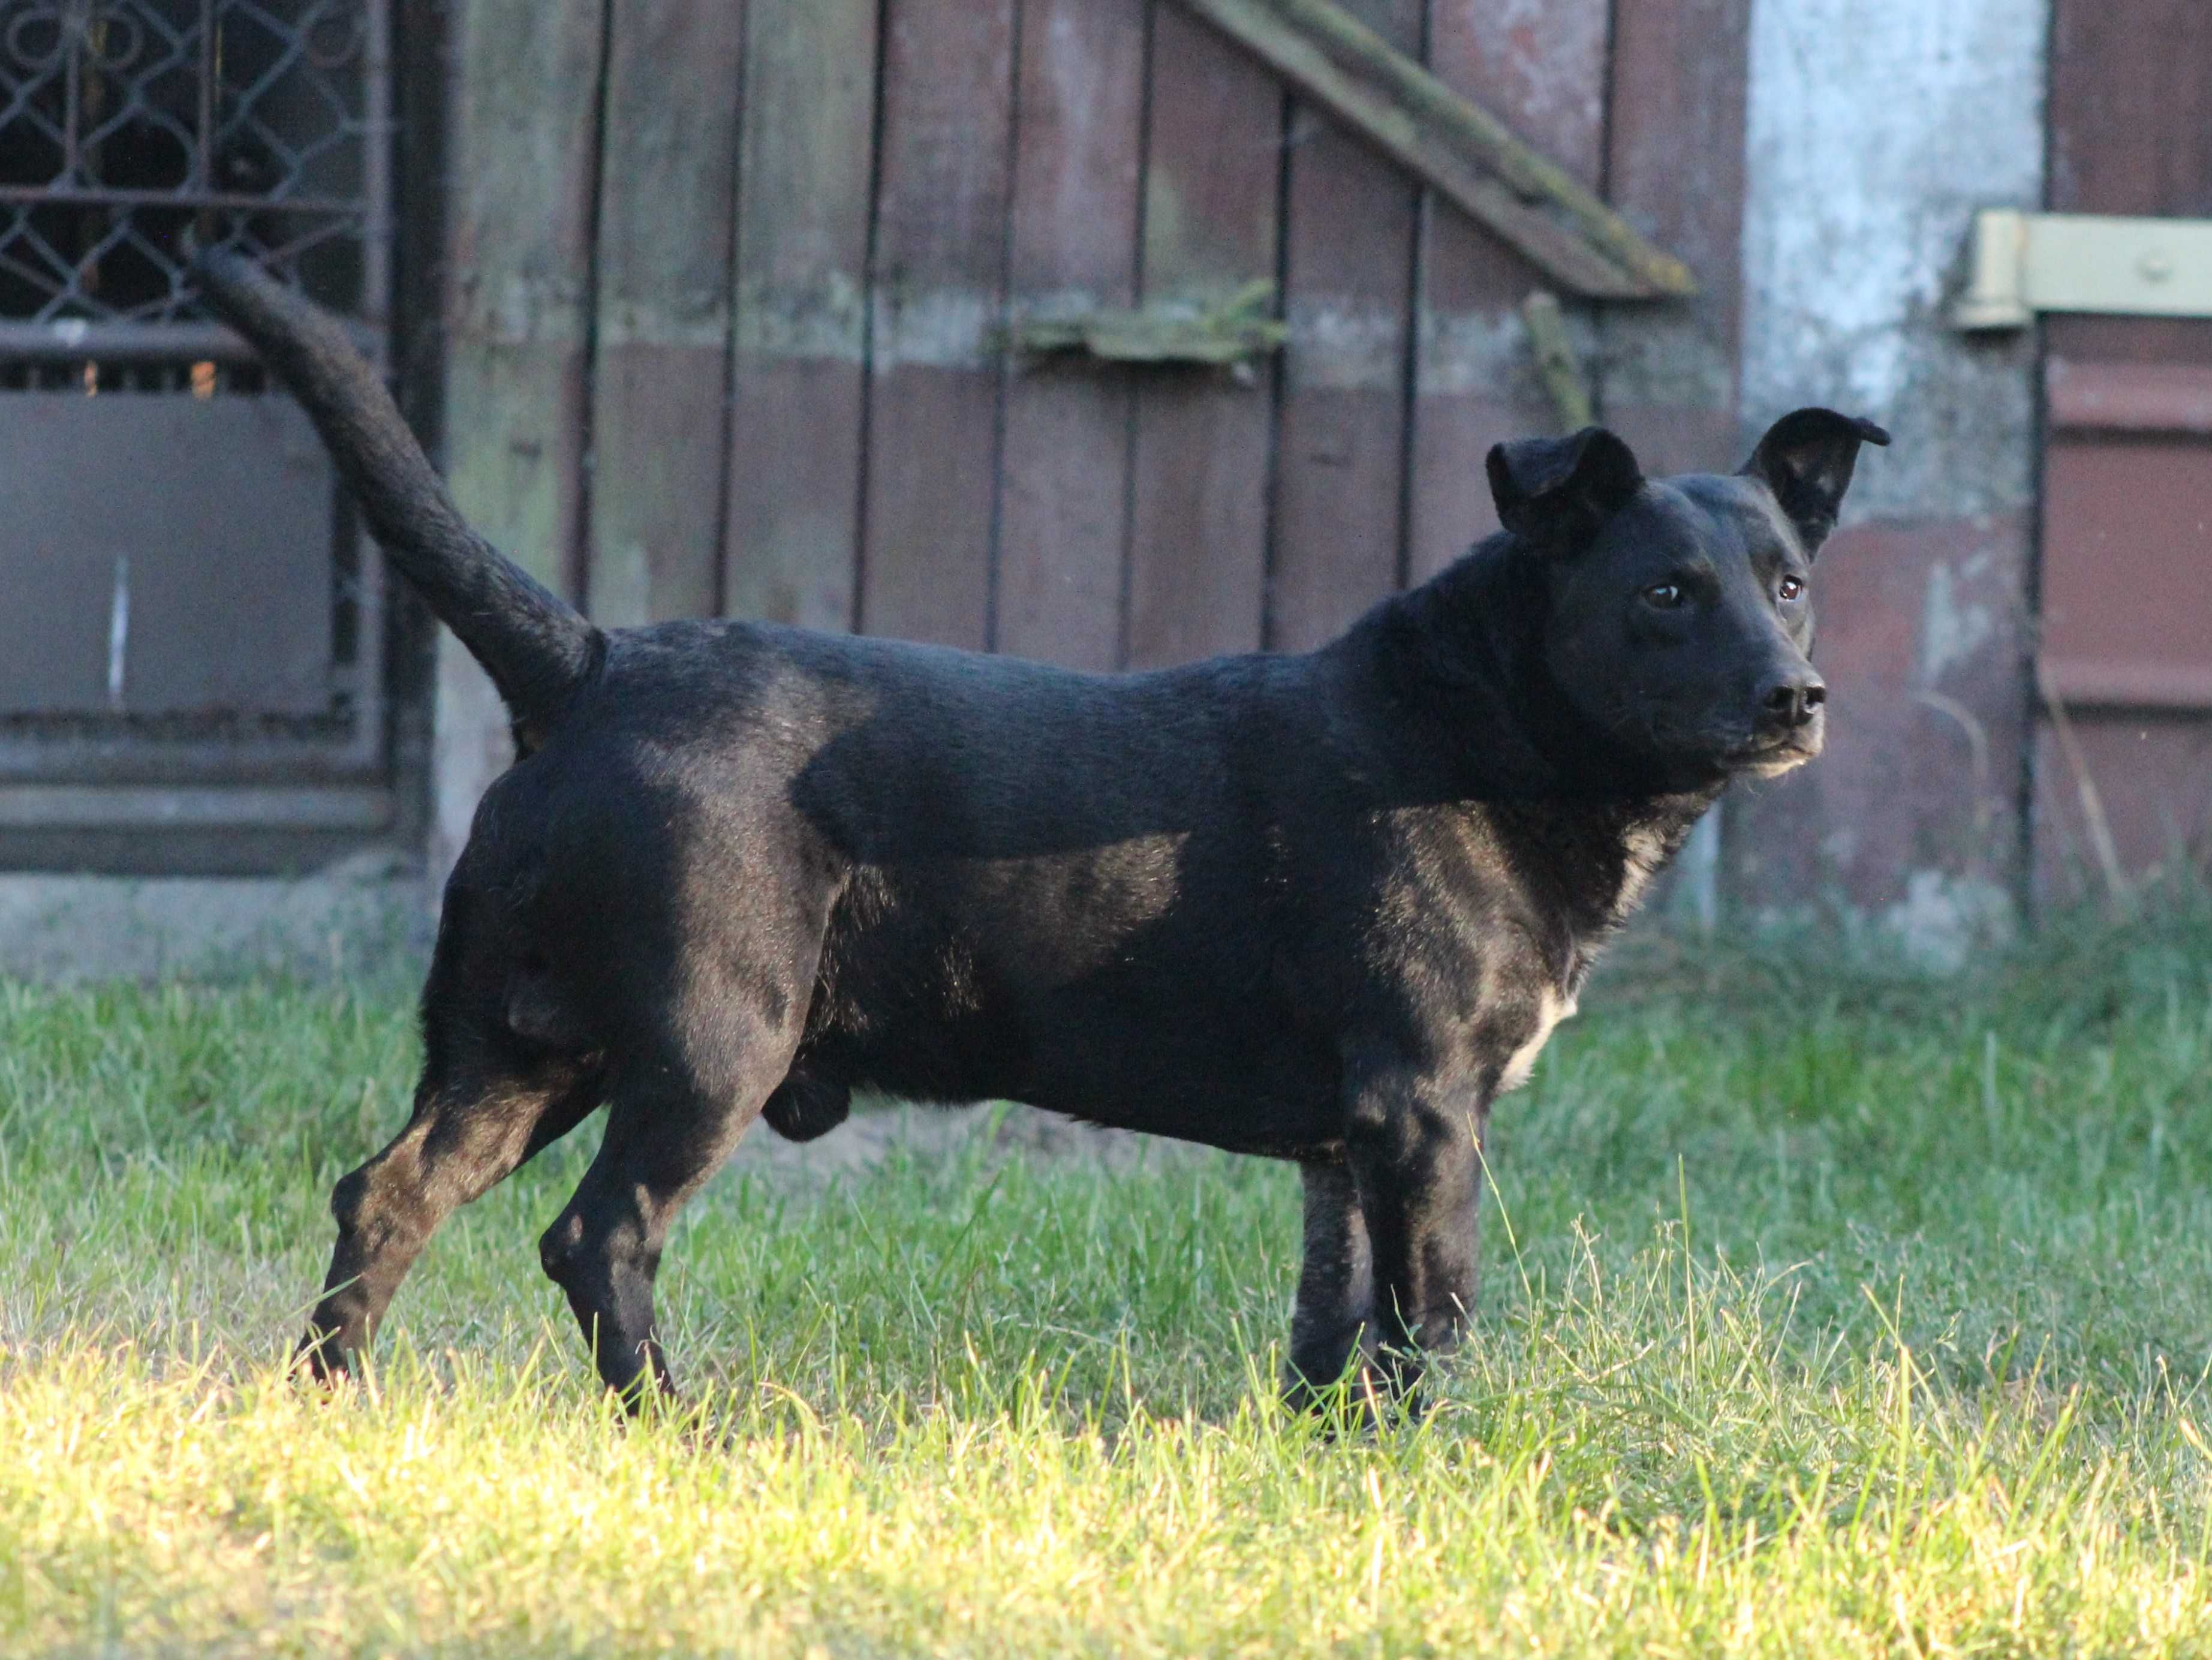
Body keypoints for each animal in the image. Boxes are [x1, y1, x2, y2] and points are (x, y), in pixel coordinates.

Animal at [194, 253, 1885, 1408]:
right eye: (1664, 592)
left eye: (1789, 580)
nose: (1800, 697)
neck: (1477, 722)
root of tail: (592, 660)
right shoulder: (1423, 1115)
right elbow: (1429, 1327)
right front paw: (1433, 1472)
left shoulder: (1343, 1150)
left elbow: (1329, 1331)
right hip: (705, 1045)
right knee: (595, 1238)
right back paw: (679, 1424)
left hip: (522, 1046)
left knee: (388, 1193)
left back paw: (330, 1400)